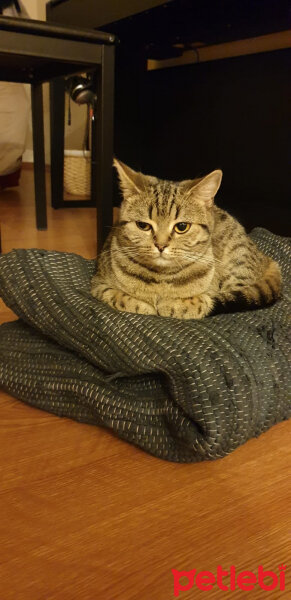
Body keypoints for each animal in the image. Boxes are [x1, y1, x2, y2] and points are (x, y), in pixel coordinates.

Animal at [92, 159, 282, 318]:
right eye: (143, 226)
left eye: (182, 227)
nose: (160, 245)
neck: (161, 278)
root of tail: (264, 257)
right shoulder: (98, 284)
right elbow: (120, 297)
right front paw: (145, 305)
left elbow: (201, 301)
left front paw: (175, 305)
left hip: (238, 263)